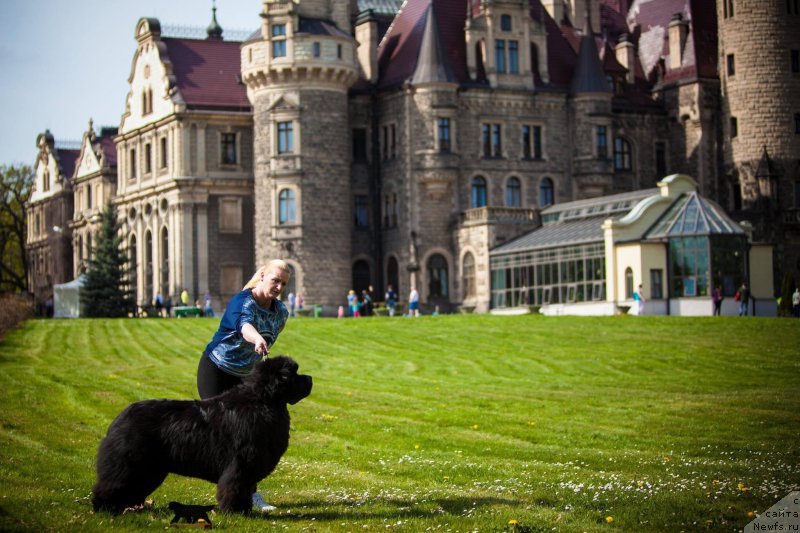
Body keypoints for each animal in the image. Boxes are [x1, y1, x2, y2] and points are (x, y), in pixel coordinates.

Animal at [90, 356, 310, 512]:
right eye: (292, 374)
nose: (310, 378)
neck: (263, 401)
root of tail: (121, 417)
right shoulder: (240, 464)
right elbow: (236, 487)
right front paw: (236, 512)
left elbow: (246, 489)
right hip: (131, 462)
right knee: (113, 483)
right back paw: (105, 508)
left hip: (150, 469)